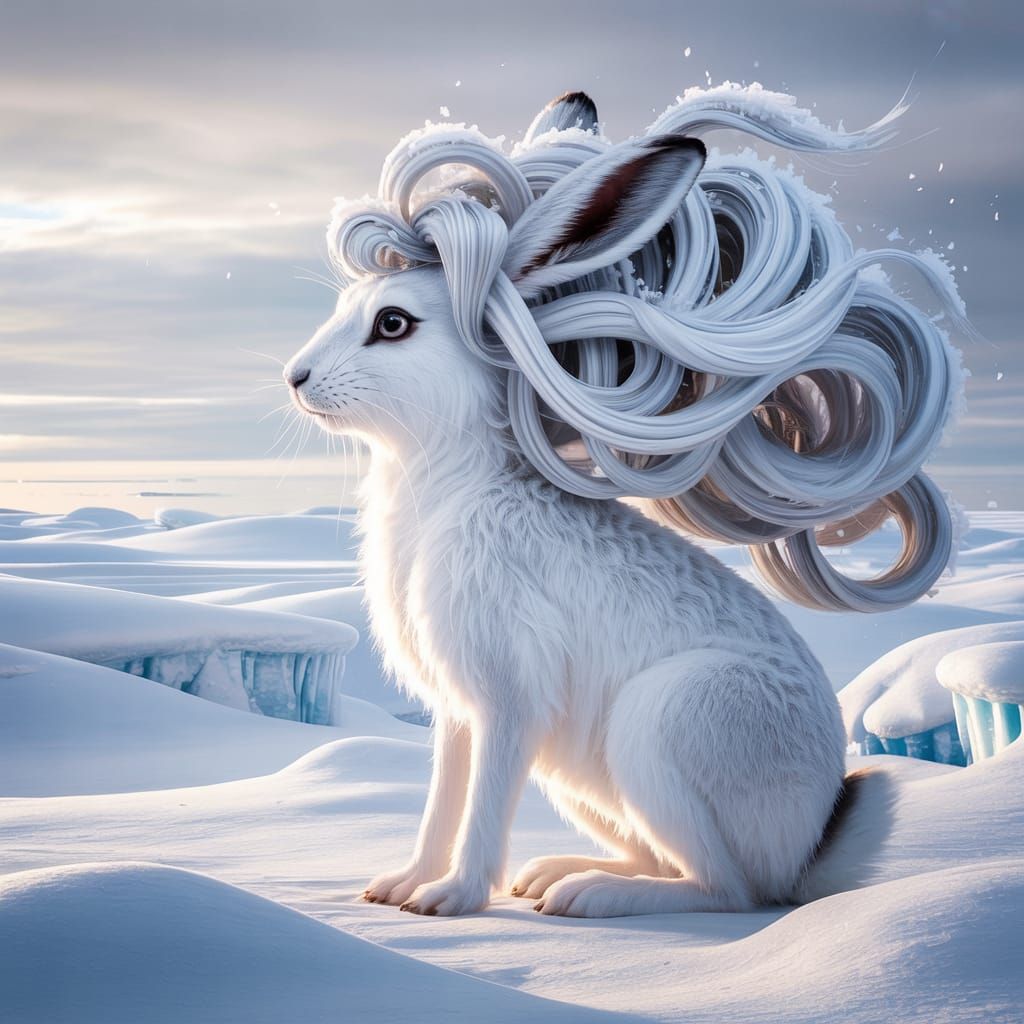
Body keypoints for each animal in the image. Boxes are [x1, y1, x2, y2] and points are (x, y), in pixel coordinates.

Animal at [282, 94, 892, 918]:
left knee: (727, 888)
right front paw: (402, 888)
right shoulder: (458, 712)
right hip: (588, 781)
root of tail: (808, 846)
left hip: (659, 728)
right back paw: (553, 877)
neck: (450, 479)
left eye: (393, 323)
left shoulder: (510, 694)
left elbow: (482, 801)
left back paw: (590, 896)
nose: (296, 377)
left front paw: (453, 899)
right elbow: (444, 796)